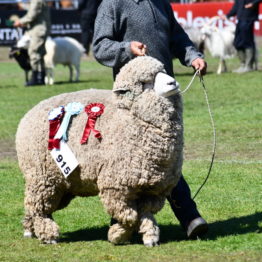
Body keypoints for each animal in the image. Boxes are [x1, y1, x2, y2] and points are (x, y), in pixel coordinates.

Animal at [15, 56, 184, 247]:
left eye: (163, 71)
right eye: (144, 82)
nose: (173, 82)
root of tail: (27, 115)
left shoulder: (154, 189)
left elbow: (145, 214)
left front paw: (149, 237)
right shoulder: (116, 186)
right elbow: (130, 216)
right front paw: (118, 235)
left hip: (62, 184)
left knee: (34, 206)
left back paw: (30, 230)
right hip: (41, 176)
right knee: (38, 208)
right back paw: (48, 235)